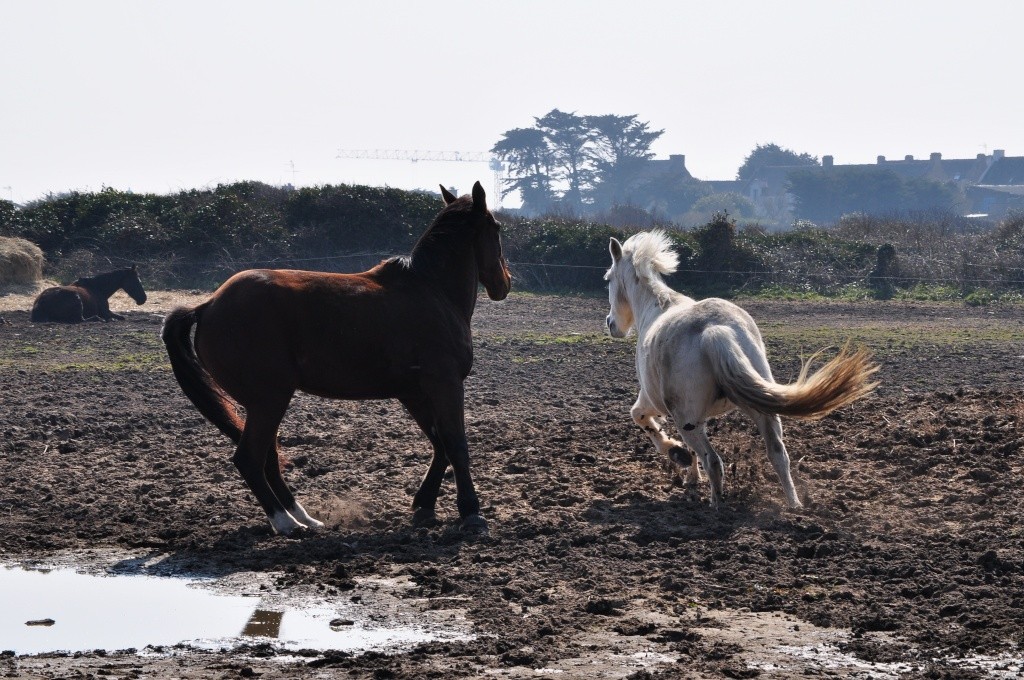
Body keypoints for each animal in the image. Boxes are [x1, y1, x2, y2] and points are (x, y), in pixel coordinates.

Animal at [162, 180, 512, 536]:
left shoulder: (414, 392)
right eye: (496, 227)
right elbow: (456, 445)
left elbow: (440, 444)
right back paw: (285, 523)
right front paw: (471, 513)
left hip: (264, 404)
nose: (504, 283)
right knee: (249, 459)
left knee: (268, 458)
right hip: (269, 400)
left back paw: (303, 517)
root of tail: (207, 306)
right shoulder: (445, 384)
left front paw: (424, 506)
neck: (432, 291)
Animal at [602, 231, 876, 507]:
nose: (611, 324)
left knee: (713, 461)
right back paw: (794, 505)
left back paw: (716, 505)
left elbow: (640, 418)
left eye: (608, 279)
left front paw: (676, 454)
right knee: (778, 455)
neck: (656, 307)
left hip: (688, 420)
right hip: (761, 411)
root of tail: (714, 331)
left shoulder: (652, 401)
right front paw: (691, 477)